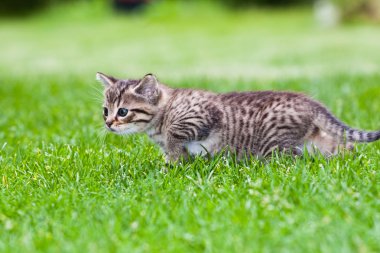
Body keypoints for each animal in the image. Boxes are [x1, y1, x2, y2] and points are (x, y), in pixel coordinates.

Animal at [98, 71, 380, 162]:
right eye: (105, 111)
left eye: (123, 111)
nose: (109, 123)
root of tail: (310, 103)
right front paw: (176, 161)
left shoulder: (202, 115)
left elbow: (175, 136)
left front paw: (173, 161)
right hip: (315, 140)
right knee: (343, 146)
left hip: (273, 144)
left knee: (291, 159)